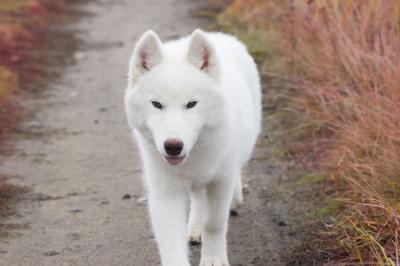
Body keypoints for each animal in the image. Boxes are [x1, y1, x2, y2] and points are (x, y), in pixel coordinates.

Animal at [126, 29, 262, 266]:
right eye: (156, 104)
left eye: (191, 104)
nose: (172, 146)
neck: (196, 153)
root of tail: (219, 35)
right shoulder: (166, 192)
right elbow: (171, 241)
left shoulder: (220, 182)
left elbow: (215, 224)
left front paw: (213, 258)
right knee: (198, 201)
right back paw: (196, 228)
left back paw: (235, 199)